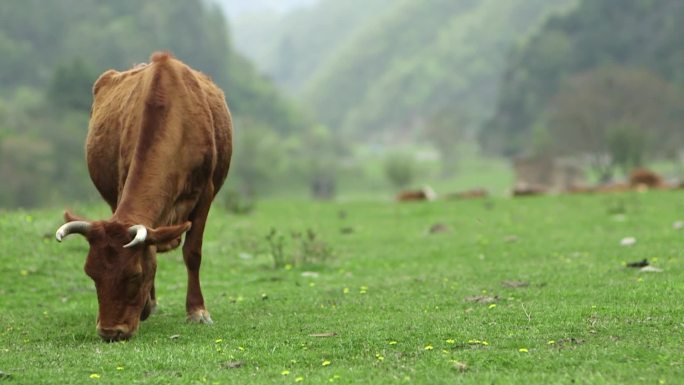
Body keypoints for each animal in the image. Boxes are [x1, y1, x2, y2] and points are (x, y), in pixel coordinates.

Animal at [54, 51, 231, 342]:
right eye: (91, 274)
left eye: (134, 276)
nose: (110, 332)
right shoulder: (121, 183)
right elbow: (151, 250)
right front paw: (148, 304)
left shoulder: (205, 192)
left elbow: (192, 252)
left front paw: (197, 311)